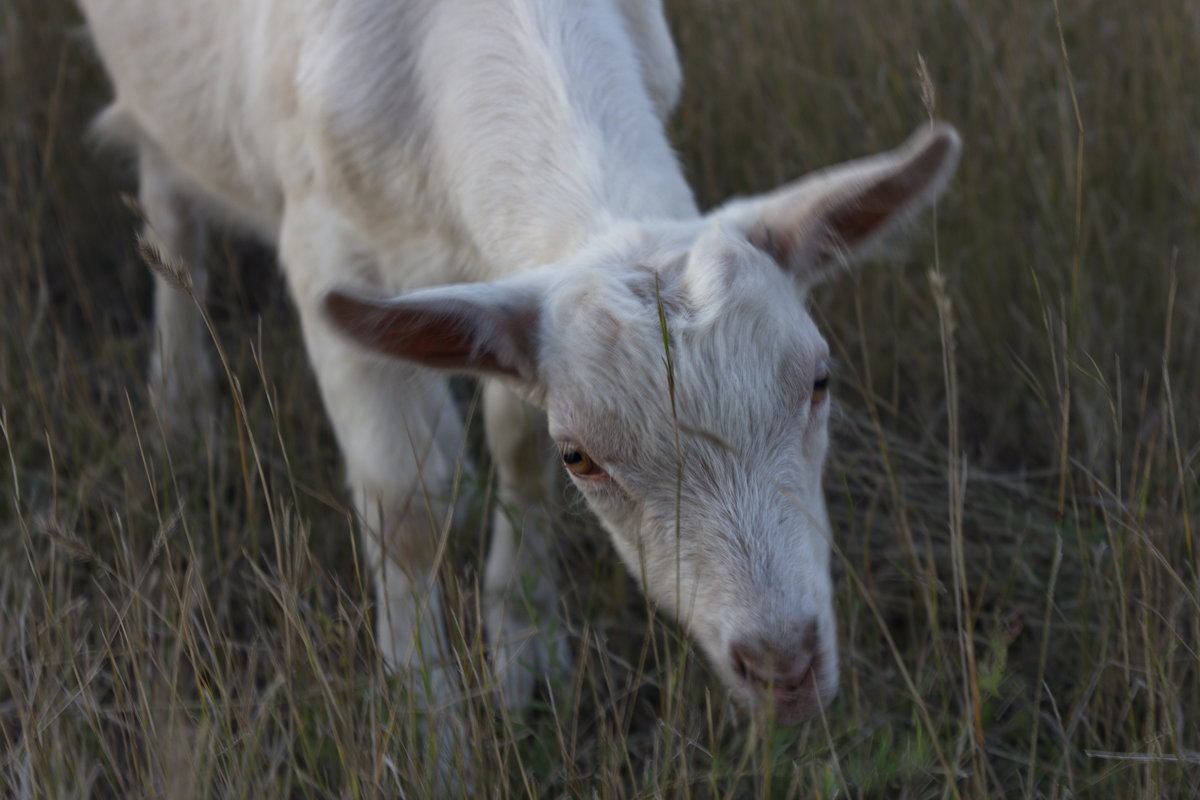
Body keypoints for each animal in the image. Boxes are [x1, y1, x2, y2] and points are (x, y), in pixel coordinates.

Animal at [79, 0, 960, 724]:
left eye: (820, 381)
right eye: (585, 457)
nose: (785, 666)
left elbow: (515, 445)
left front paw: (525, 646)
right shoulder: (324, 243)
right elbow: (405, 503)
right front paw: (427, 718)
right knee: (167, 203)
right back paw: (181, 411)